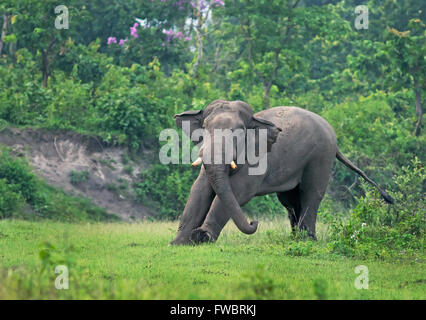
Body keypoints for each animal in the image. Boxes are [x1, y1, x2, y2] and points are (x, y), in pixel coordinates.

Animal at [170, 100, 392, 245]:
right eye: (205, 127)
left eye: (240, 131)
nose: (254, 221)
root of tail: (334, 137)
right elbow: (199, 189)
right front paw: (178, 242)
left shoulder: (259, 156)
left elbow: (240, 191)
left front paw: (202, 237)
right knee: (290, 200)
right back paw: (294, 238)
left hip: (321, 156)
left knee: (311, 194)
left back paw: (306, 240)